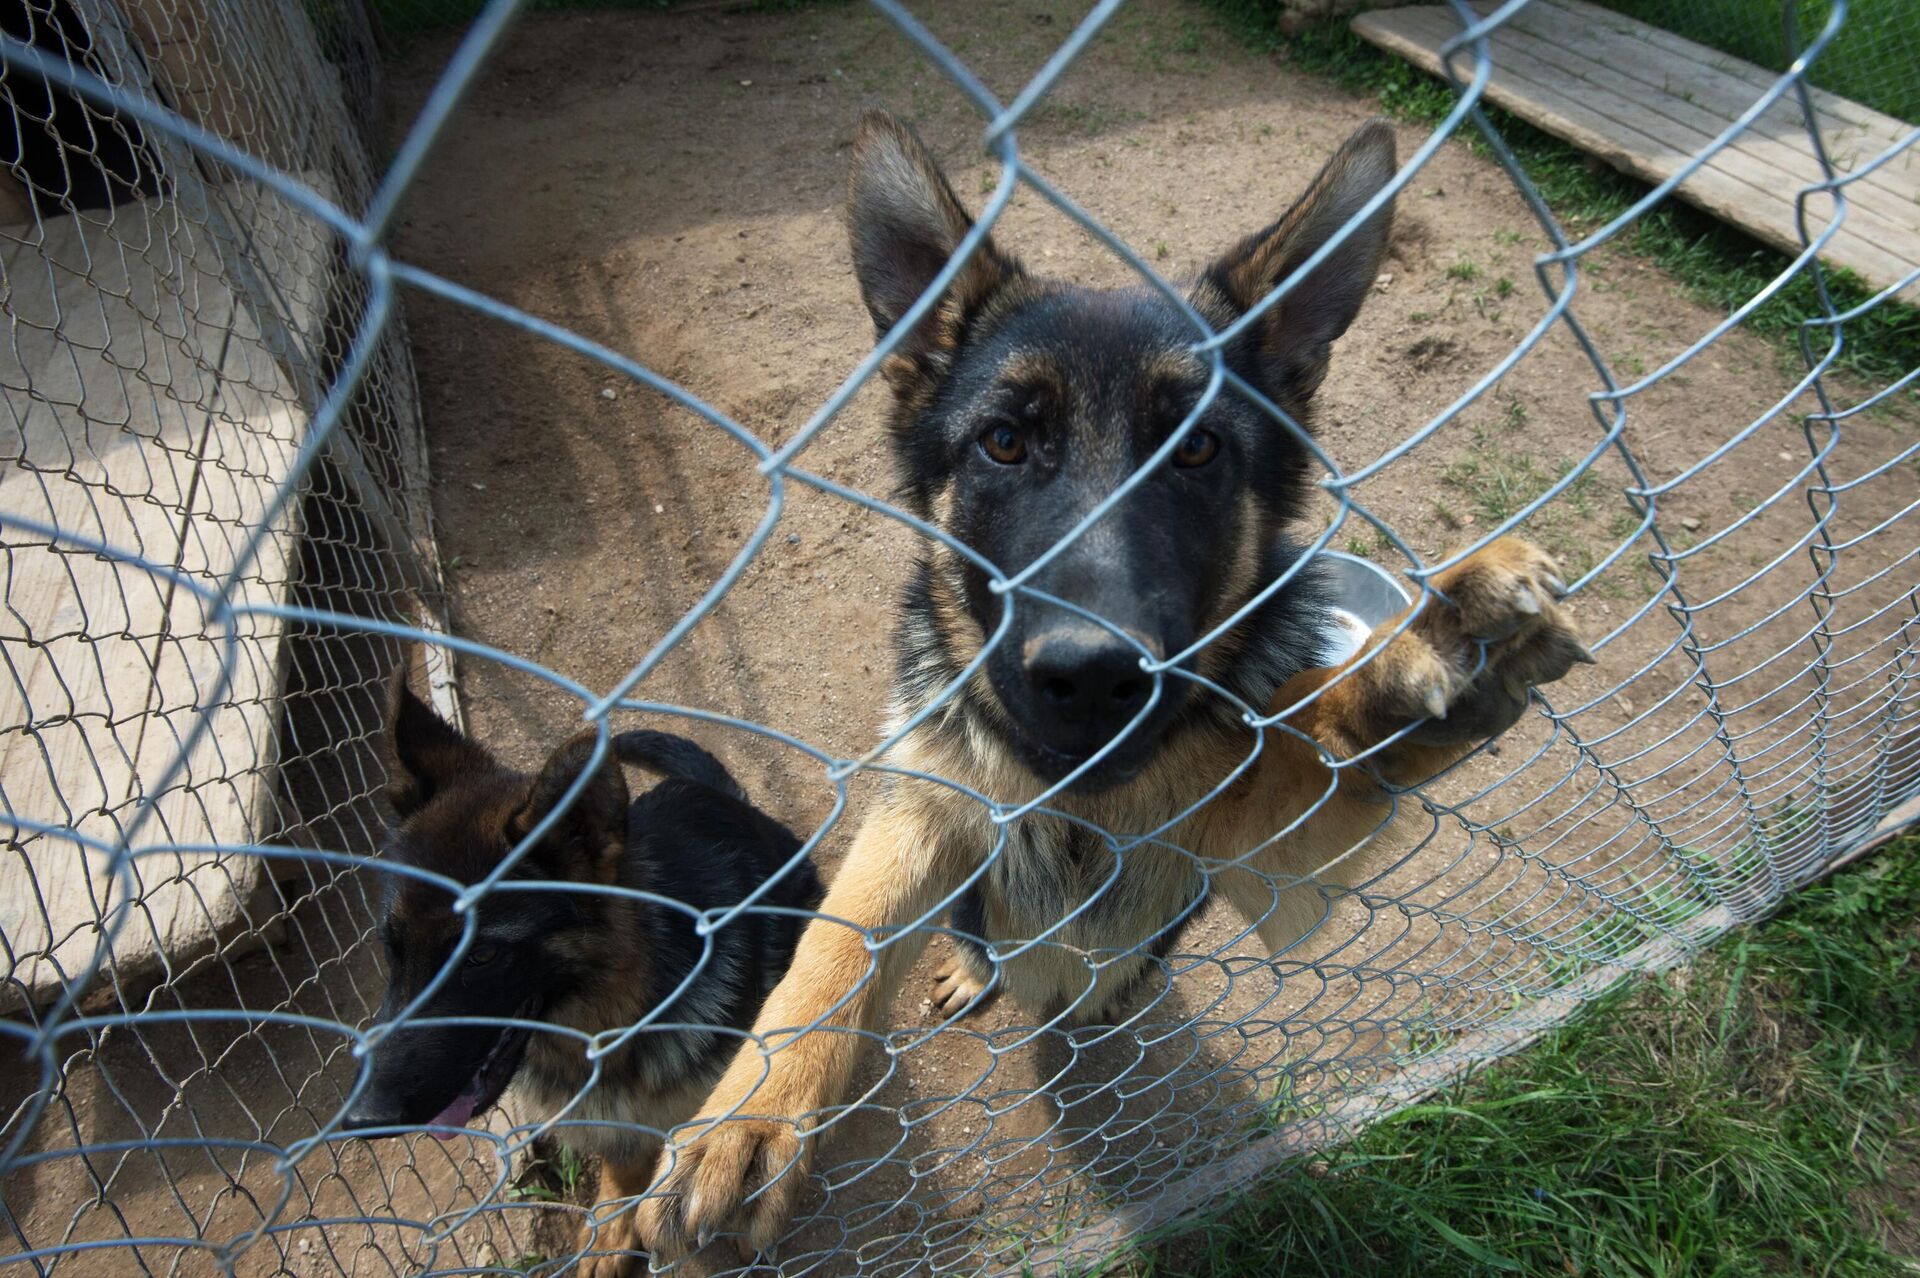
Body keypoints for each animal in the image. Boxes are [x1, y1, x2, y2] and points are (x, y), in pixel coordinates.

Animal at [347, 675, 825, 1266]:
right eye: (392, 947)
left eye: (481, 955)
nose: (362, 1119)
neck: (619, 1010)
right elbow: (624, 1164)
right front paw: (611, 1226)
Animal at [645, 117, 1589, 1251]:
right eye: (1006, 440)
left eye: (1199, 451)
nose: (1095, 678)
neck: (1077, 804)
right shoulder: (927, 802)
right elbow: (841, 941)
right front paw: (751, 1111)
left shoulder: (1268, 852)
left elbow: (1322, 736)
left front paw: (1422, 649)